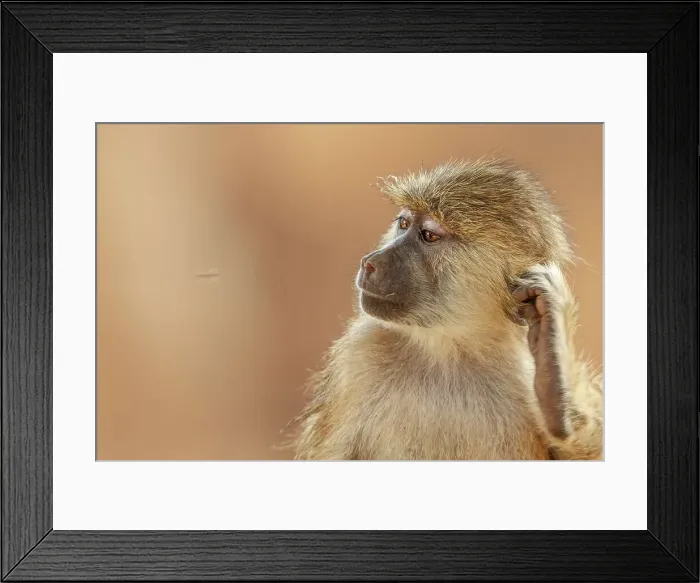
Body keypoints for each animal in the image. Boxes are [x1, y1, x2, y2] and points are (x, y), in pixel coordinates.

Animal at [290, 158, 603, 461]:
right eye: (404, 223)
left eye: (428, 235)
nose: (370, 262)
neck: (449, 351)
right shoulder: (358, 357)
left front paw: (554, 379)